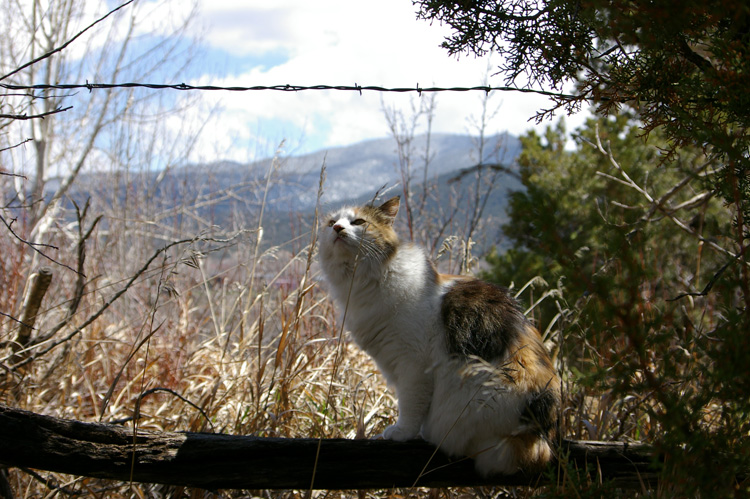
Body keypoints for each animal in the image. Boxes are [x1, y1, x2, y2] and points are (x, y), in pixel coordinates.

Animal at [318, 195, 564, 476]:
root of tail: (544, 436)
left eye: (358, 222)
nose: (338, 229)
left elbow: (410, 405)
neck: (361, 284)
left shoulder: (414, 365)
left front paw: (401, 433)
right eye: (331, 223)